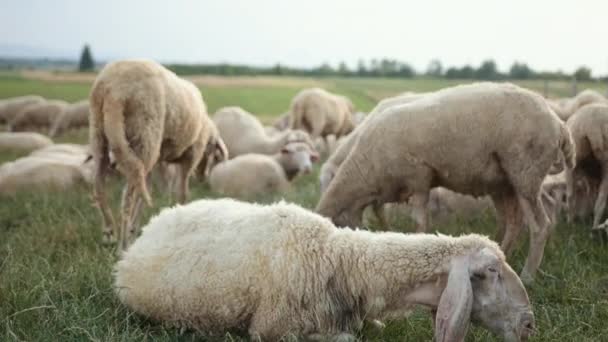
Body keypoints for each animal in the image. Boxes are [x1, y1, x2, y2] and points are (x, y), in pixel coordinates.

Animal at [88, 59, 226, 248]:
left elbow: (147, 193)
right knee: (127, 199)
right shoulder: (190, 157)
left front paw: (135, 230)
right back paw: (124, 244)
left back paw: (109, 232)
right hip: (145, 135)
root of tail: (112, 88)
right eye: (213, 153)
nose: (203, 178)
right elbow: (182, 192)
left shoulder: (156, 164)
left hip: (100, 134)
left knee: (99, 185)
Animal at [316, 82, 576, 284]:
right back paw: (500, 257)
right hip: (504, 182)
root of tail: (559, 124)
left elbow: (419, 220)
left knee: (540, 226)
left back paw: (528, 275)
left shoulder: (419, 176)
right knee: (513, 222)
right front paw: (387, 232)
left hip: (525, 174)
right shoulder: (389, 190)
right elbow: (383, 212)